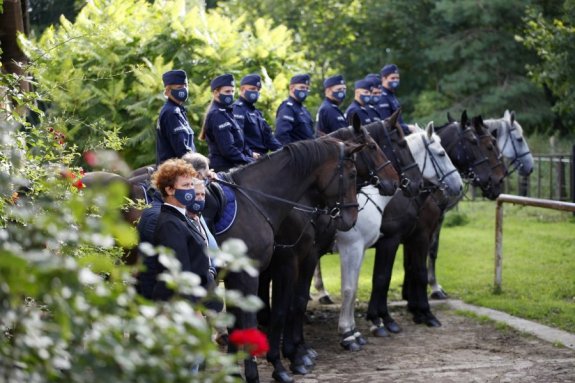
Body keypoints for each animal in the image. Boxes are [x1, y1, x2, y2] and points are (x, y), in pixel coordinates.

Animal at [338, 122, 464, 352]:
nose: (459, 186)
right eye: (441, 153)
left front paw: (406, 313)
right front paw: (384, 319)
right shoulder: (398, 240)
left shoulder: (406, 239)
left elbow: (404, 271)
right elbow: (386, 277)